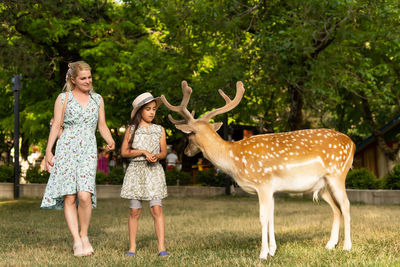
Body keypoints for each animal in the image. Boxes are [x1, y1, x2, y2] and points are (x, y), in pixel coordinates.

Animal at [159, 81, 354, 260]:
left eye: (189, 134)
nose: (186, 151)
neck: (233, 160)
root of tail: (351, 143)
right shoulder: (272, 189)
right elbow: (271, 217)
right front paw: (273, 250)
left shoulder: (263, 184)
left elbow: (262, 218)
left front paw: (263, 254)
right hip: (322, 185)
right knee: (336, 208)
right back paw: (330, 244)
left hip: (338, 174)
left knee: (345, 205)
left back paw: (347, 246)